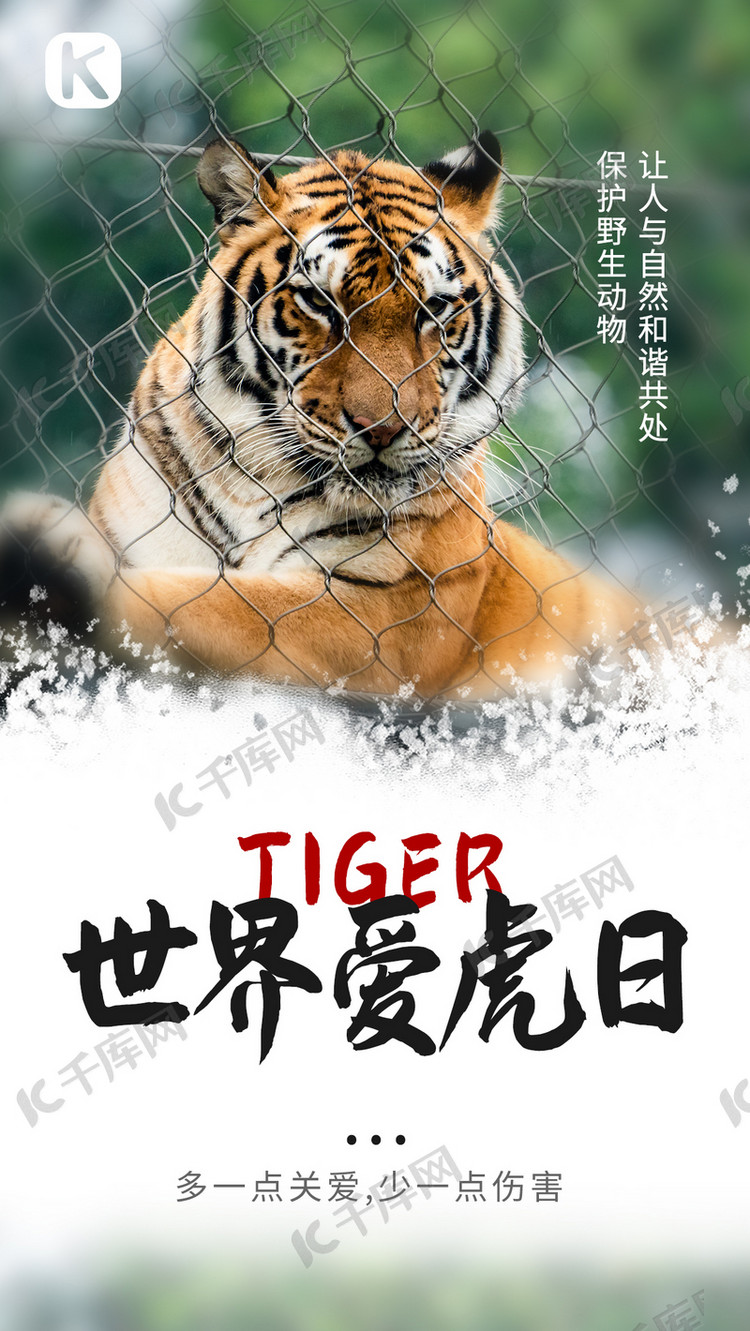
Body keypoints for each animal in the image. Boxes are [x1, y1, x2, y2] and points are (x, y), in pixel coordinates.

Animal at [0, 131, 640, 698]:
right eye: (319, 302)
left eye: (435, 309)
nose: (385, 429)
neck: (250, 480)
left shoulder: (392, 613)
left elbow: (219, 604)